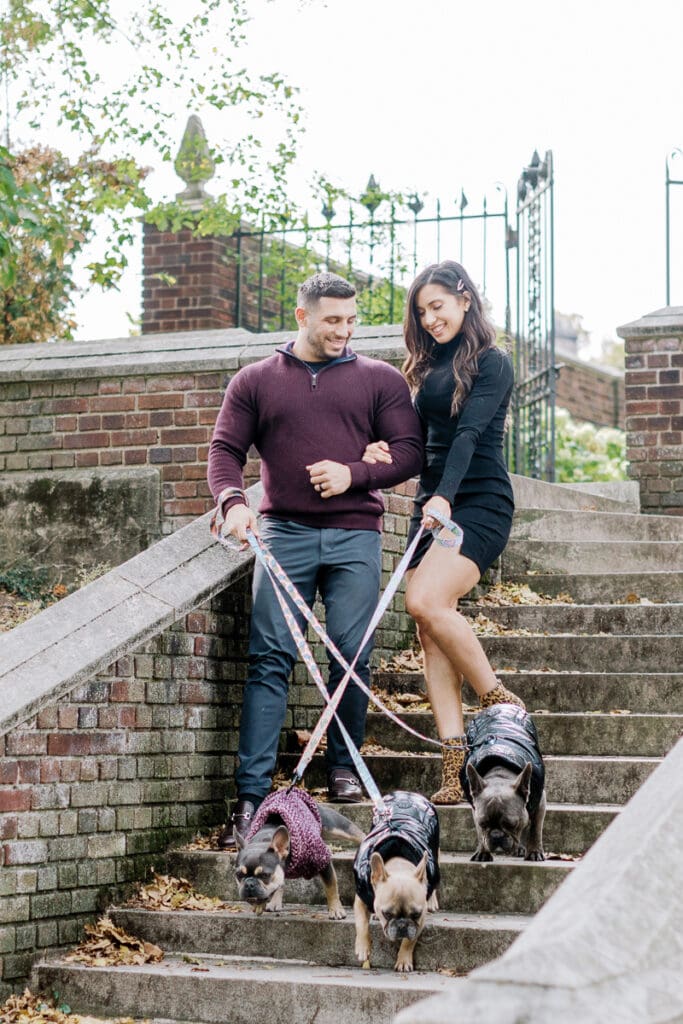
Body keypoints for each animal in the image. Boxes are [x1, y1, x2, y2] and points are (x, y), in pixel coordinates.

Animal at [233, 786, 362, 917]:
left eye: (265, 875)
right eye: (238, 875)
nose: (249, 884)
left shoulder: (323, 861)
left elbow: (331, 887)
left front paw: (336, 909)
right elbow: (276, 886)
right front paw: (260, 904)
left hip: (336, 826)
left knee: (359, 834)